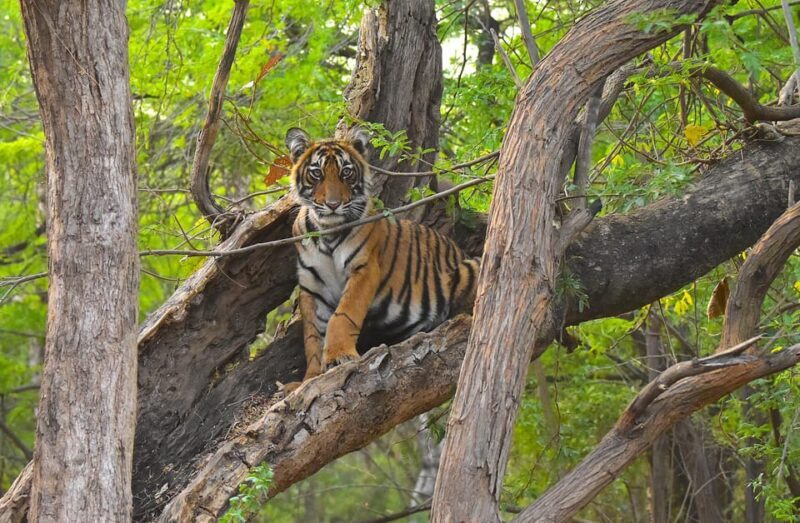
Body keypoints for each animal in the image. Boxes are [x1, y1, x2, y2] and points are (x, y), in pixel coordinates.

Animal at [284, 127, 479, 389]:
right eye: (316, 174)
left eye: (346, 173)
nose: (333, 204)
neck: (327, 230)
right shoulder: (312, 285)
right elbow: (313, 336)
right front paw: (311, 377)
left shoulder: (365, 268)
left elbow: (344, 314)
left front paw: (339, 356)